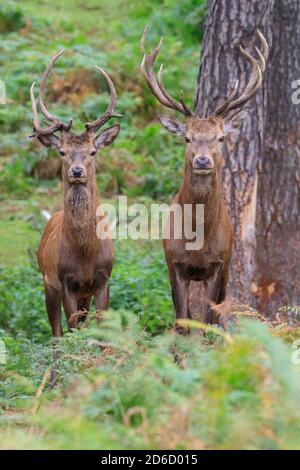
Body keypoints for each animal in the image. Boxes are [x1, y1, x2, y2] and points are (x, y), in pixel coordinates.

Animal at [29, 51, 120, 336]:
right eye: (62, 152)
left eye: (93, 151)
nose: (77, 171)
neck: (85, 255)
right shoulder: (66, 281)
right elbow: (70, 329)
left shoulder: (103, 280)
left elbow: (102, 329)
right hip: (47, 282)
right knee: (56, 333)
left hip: (83, 294)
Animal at [141, 27, 270, 328]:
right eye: (187, 138)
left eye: (221, 137)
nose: (202, 160)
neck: (197, 241)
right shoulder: (174, 263)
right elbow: (182, 321)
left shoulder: (218, 265)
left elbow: (209, 320)